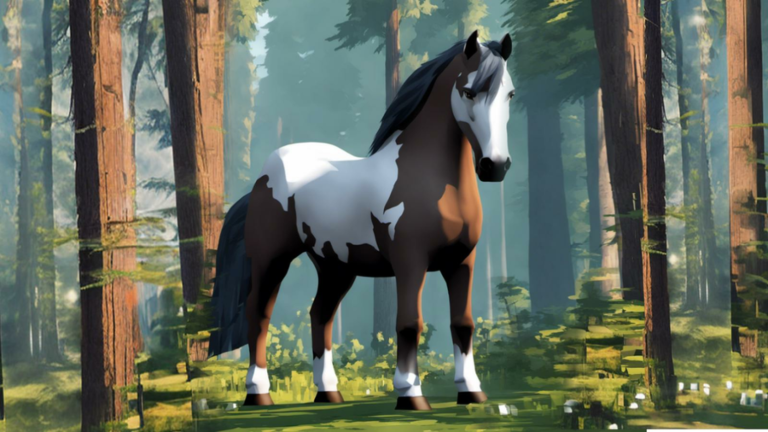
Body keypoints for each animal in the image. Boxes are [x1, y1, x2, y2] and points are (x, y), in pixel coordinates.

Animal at [208, 31, 515, 411]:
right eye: (469, 91)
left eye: (510, 93)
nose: (495, 166)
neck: (426, 179)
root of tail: (262, 179)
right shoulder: (410, 263)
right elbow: (409, 323)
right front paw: (410, 394)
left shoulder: (462, 261)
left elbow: (463, 324)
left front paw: (471, 391)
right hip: (270, 261)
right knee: (259, 315)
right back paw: (258, 393)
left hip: (335, 268)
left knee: (320, 315)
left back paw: (328, 392)